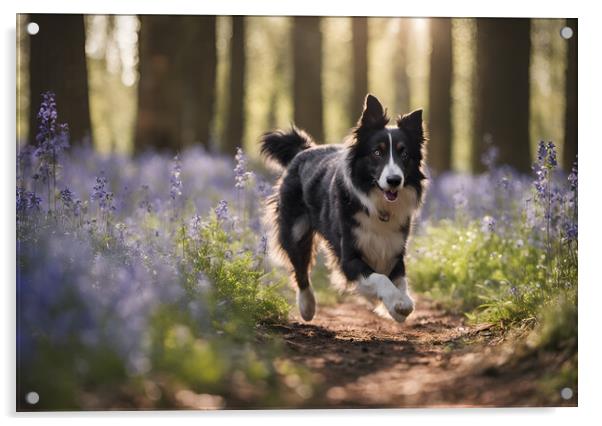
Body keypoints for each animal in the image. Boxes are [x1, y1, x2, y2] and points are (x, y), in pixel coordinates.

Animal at [260, 95, 424, 322]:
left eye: (405, 154)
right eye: (377, 152)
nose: (394, 180)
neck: (376, 205)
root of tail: (303, 151)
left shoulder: (394, 250)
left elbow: (400, 280)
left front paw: (398, 305)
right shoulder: (349, 257)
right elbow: (380, 277)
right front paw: (397, 302)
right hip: (295, 229)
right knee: (300, 268)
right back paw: (307, 307)